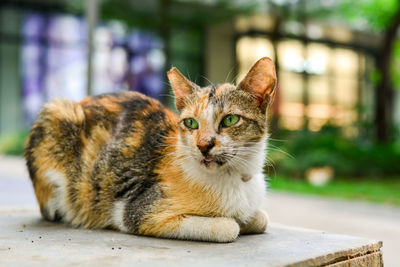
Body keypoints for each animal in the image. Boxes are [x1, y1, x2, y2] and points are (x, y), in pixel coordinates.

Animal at [24, 57, 276, 244]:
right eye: (191, 123)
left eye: (230, 119)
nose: (203, 145)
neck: (234, 178)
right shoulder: (137, 212)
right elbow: (228, 227)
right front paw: (234, 222)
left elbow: (262, 218)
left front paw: (247, 219)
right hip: (57, 114)